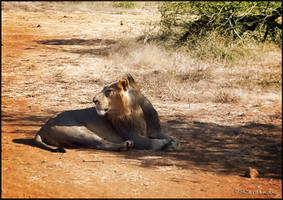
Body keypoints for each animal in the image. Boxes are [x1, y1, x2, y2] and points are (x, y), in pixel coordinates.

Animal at [34, 74, 179, 152]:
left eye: (108, 91)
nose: (94, 100)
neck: (137, 110)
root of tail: (42, 128)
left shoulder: (156, 131)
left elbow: (173, 137)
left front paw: (172, 142)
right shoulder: (132, 135)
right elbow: (152, 143)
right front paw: (166, 143)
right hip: (79, 131)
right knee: (99, 143)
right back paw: (126, 145)